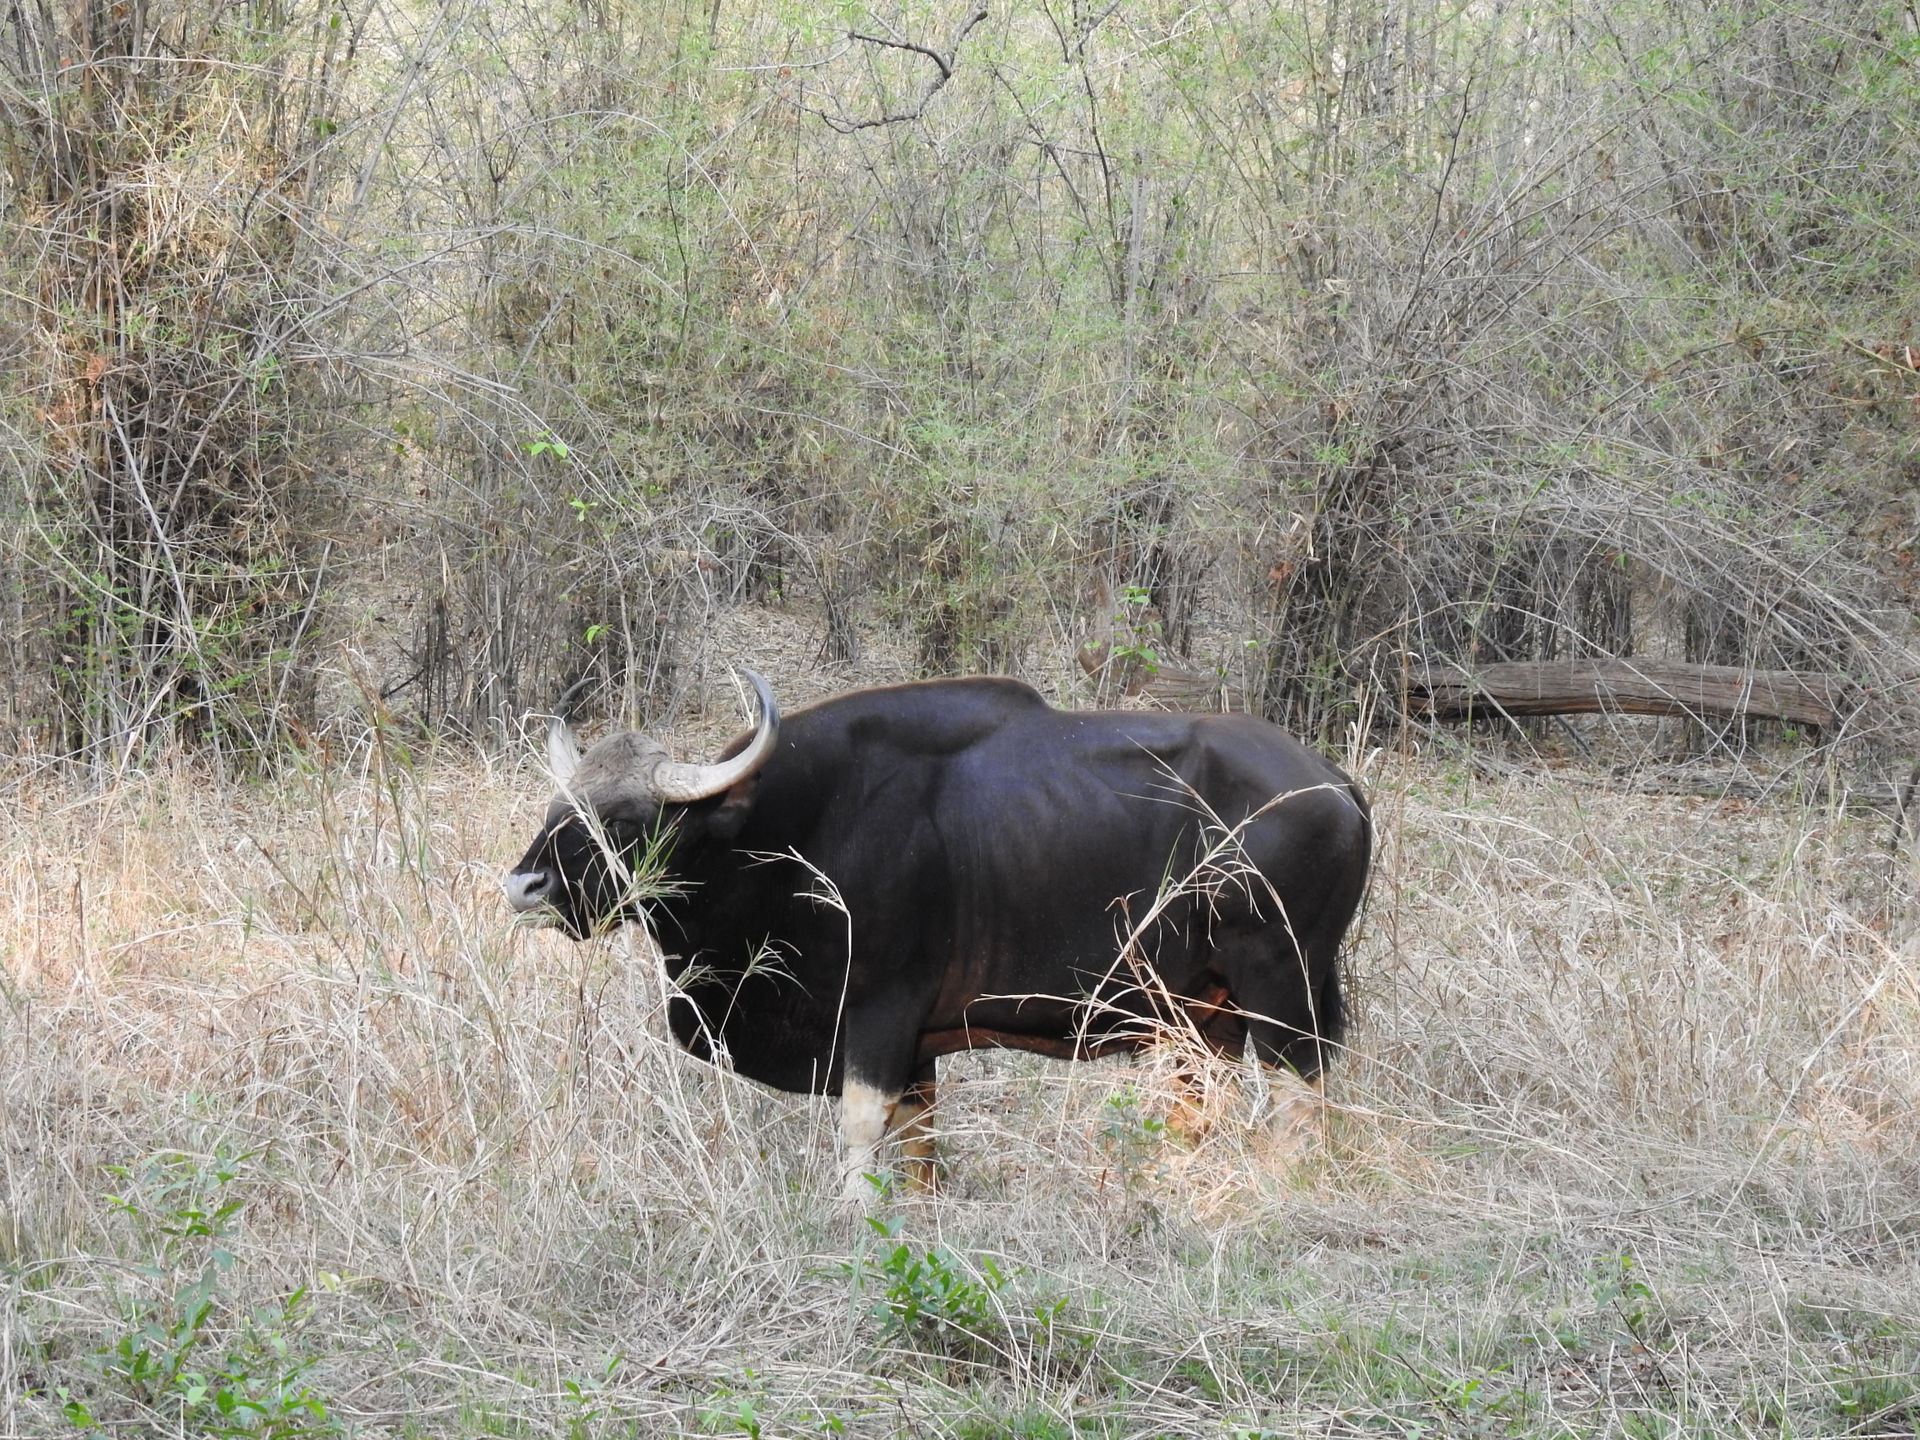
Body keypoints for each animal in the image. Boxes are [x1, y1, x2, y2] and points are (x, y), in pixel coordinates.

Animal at [504, 672, 1370, 1196]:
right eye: (558, 806)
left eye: (624, 820)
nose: (524, 886)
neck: (788, 834)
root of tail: (1335, 784)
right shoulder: (918, 1045)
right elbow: (917, 1141)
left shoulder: (879, 1012)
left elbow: (861, 1126)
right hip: (1203, 1016)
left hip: (1281, 991)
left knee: (1299, 1102)